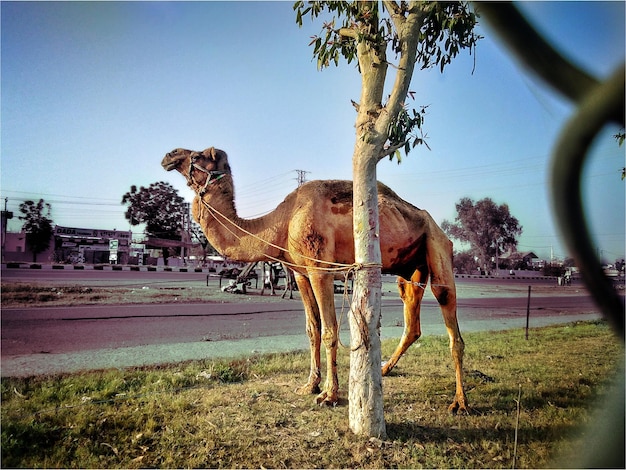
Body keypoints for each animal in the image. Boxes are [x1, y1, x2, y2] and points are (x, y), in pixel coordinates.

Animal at [162, 147, 468, 412]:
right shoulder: (300, 273)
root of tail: (432, 222)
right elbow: (313, 328)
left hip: (436, 244)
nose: (169, 155)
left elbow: (331, 329)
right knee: (412, 320)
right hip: (411, 269)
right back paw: (384, 369)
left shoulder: (321, 269)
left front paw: (329, 395)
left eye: (198, 155)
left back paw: (460, 402)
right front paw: (309, 385)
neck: (281, 223)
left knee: (449, 315)